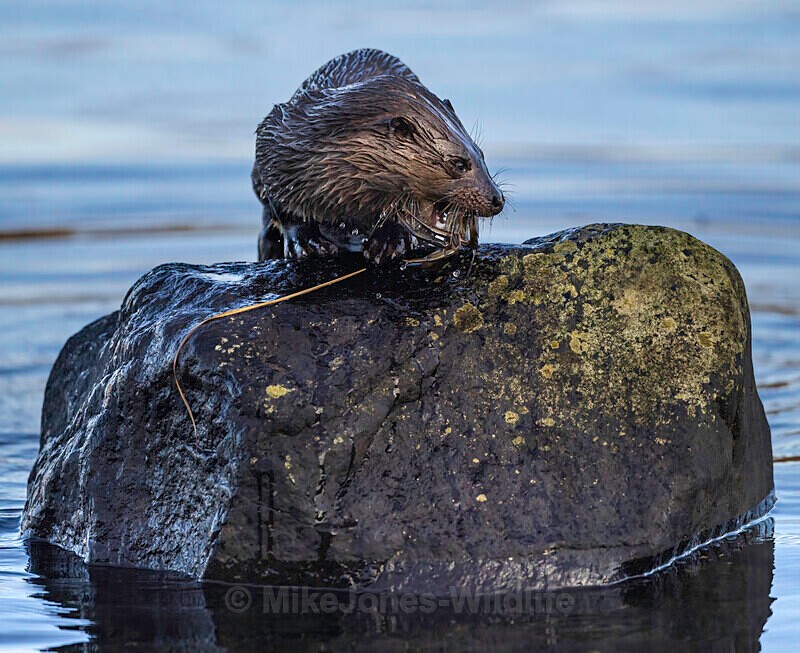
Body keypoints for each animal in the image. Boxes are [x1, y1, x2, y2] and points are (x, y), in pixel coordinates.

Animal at [252, 48, 504, 265]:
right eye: (459, 164)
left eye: (481, 154)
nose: (497, 199)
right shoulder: (275, 139)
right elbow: (284, 207)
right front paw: (307, 243)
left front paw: (389, 242)